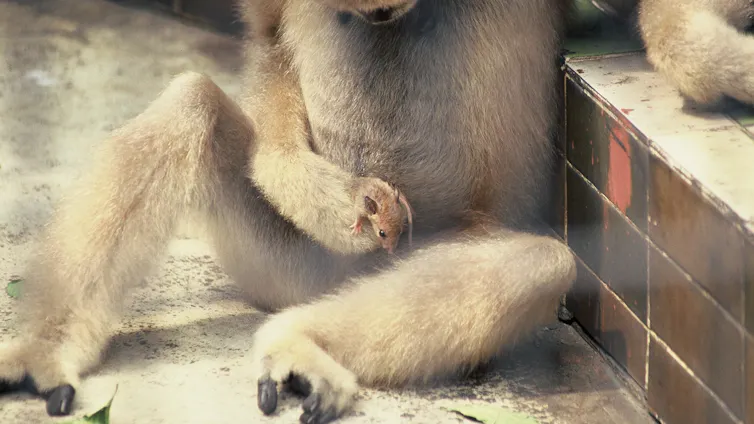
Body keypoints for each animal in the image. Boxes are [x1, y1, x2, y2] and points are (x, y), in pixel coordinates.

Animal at [0, 1, 578, 423]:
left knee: (542, 263)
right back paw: (46, 352)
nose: (379, 15)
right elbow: (270, 35)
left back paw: (302, 342)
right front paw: (315, 190)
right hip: (288, 269)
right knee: (192, 103)